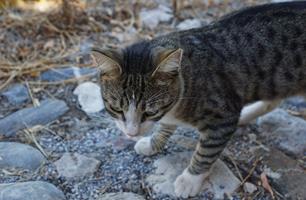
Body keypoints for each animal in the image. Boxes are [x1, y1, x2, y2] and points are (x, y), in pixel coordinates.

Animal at [92, 1, 306, 198]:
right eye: (116, 109)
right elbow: (165, 127)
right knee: (274, 100)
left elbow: (206, 152)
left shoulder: (223, 117)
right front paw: (153, 143)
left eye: (150, 112)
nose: (131, 134)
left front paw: (189, 180)